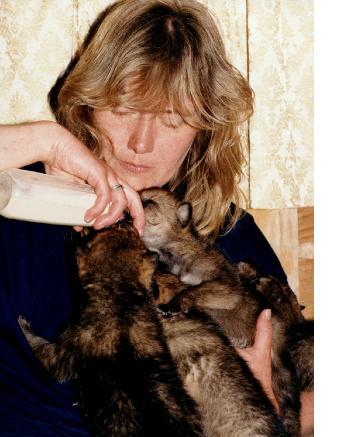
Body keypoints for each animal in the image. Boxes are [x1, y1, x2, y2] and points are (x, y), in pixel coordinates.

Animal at [18, 223, 203, 434]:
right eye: (131, 233)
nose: (124, 221)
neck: (118, 291)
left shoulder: (64, 348)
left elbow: (42, 351)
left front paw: (23, 324)